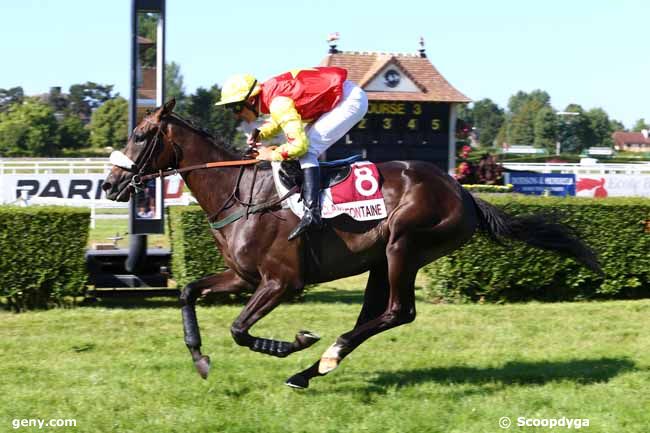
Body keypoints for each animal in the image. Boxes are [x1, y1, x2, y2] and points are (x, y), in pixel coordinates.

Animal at [104, 101, 600, 388]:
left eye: (141, 135)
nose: (109, 184)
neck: (241, 191)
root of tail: (464, 192)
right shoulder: (243, 276)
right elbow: (189, 292)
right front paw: (200, 358)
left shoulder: (281, 282)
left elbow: (240, 330)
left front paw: (296, 341)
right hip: (381, 259)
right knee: (374, 316)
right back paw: (312, 371)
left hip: (404, 245)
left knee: (399, 311)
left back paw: (324, 355)